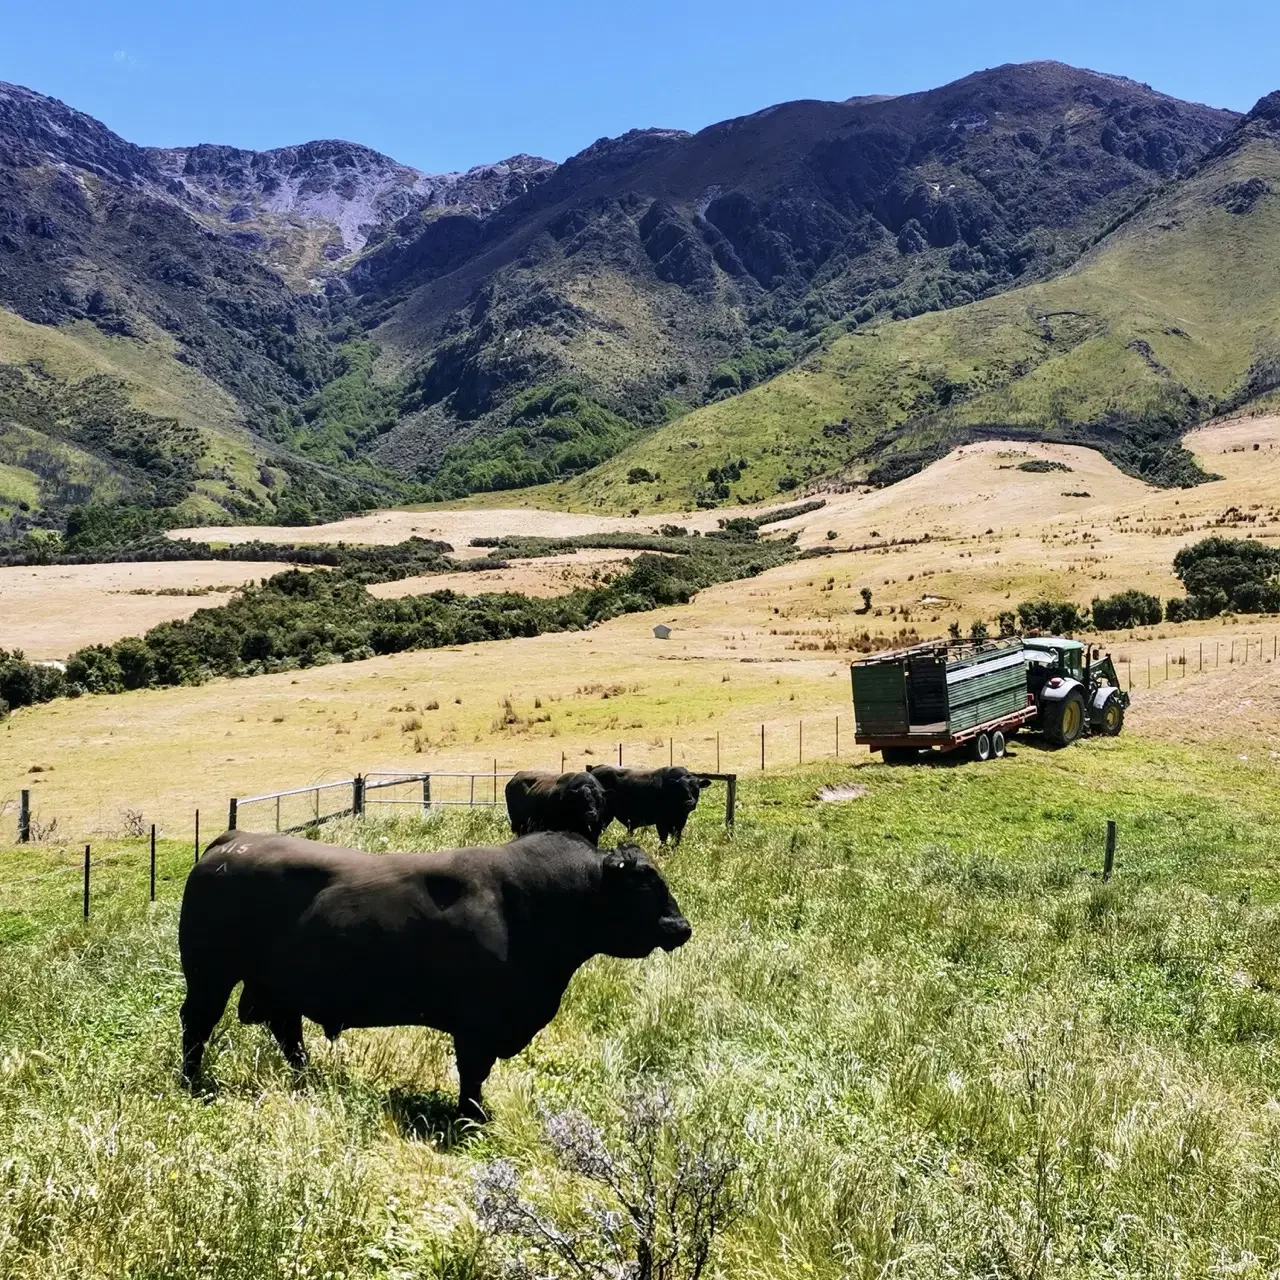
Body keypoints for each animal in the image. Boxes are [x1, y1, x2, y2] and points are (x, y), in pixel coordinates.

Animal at [179, 829, 691, 1120]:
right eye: (645, 882)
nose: (681, 926)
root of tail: (229, 842)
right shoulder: (478, 1025)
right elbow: (473, 1074)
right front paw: (473, 1117)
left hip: (274, 985)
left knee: (287, 1032)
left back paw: (309, 1081)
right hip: (209, 976)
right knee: (198, 1025)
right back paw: (190, 1082)